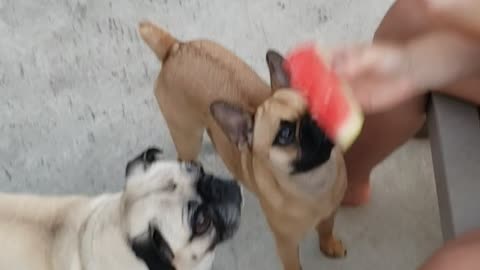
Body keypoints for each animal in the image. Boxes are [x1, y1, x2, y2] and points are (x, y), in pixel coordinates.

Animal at [140, 21, 348, 270]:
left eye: (315, 103)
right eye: (285, 134)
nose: (313, 121)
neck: (314, 181)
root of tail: (174, 48)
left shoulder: (330, 212)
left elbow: (326, 229)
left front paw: (329, 245)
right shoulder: (287, 245)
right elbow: (294, 265)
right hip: (187, 137)